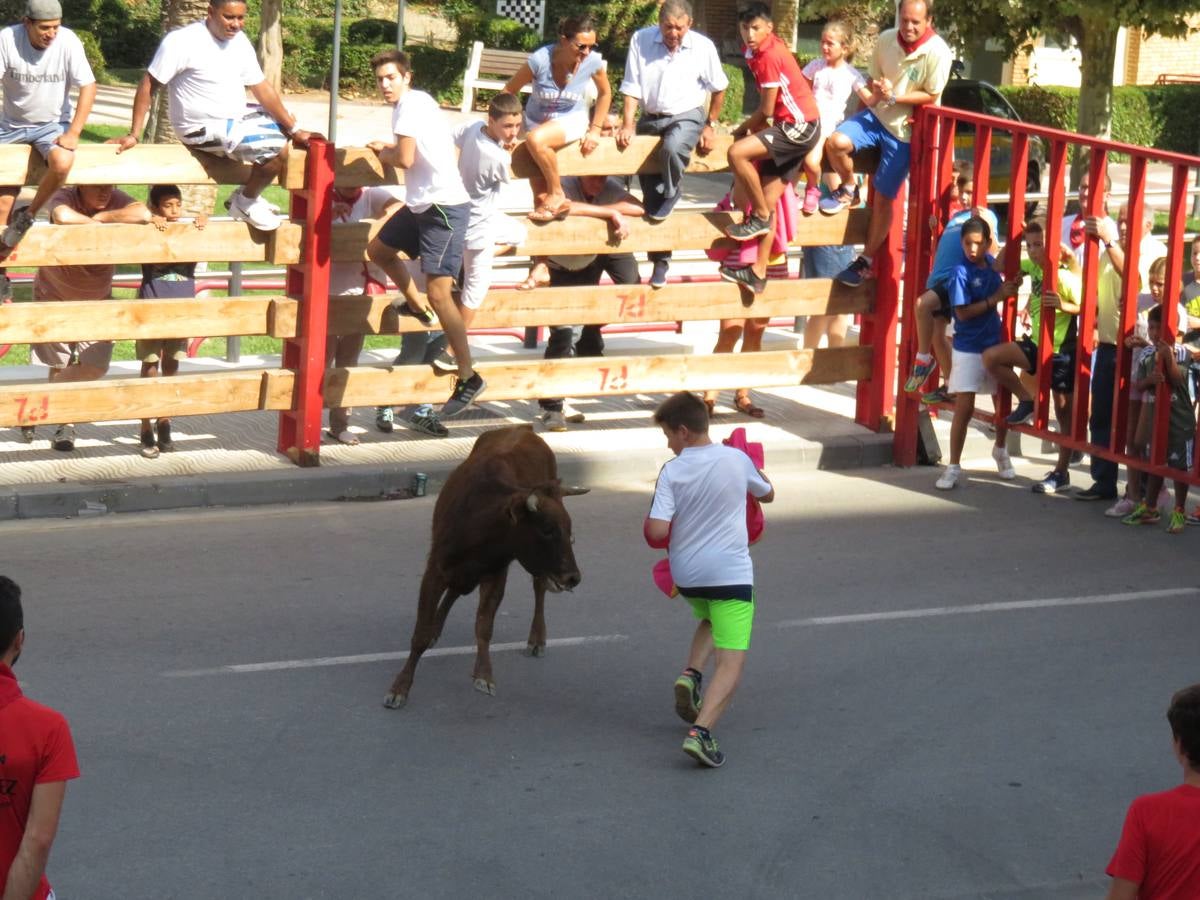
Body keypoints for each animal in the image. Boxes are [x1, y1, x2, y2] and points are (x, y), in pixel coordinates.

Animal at [384, 427, 585, 710]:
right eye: (547, 530)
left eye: (570, 533)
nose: (573, 578)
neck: (480, 524)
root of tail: (524, 429)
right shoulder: (435, 571)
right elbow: (420, 634)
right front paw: (399, 688)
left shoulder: (496, 574)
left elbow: (484, 627)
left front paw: (484, 675)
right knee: (456, 592)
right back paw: (436, 630)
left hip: (533, 571)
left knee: (538, 589)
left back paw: (537, 639)